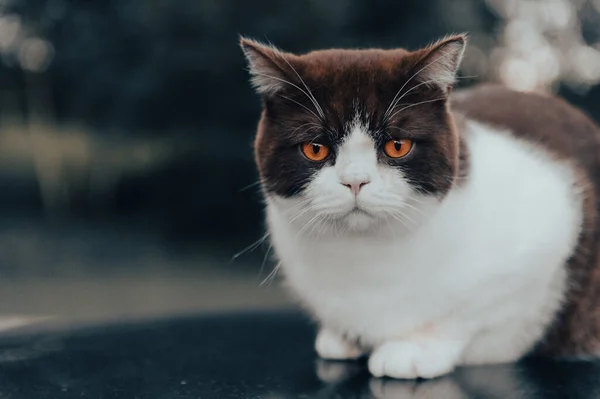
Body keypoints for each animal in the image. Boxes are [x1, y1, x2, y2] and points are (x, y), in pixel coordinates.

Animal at [239, 33, 600, 378]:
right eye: (315, 149)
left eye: (397, 146)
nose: (355, 181)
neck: (365, 255)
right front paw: (342, 336)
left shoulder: (551, 230)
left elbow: (468, 313)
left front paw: (414, 348)